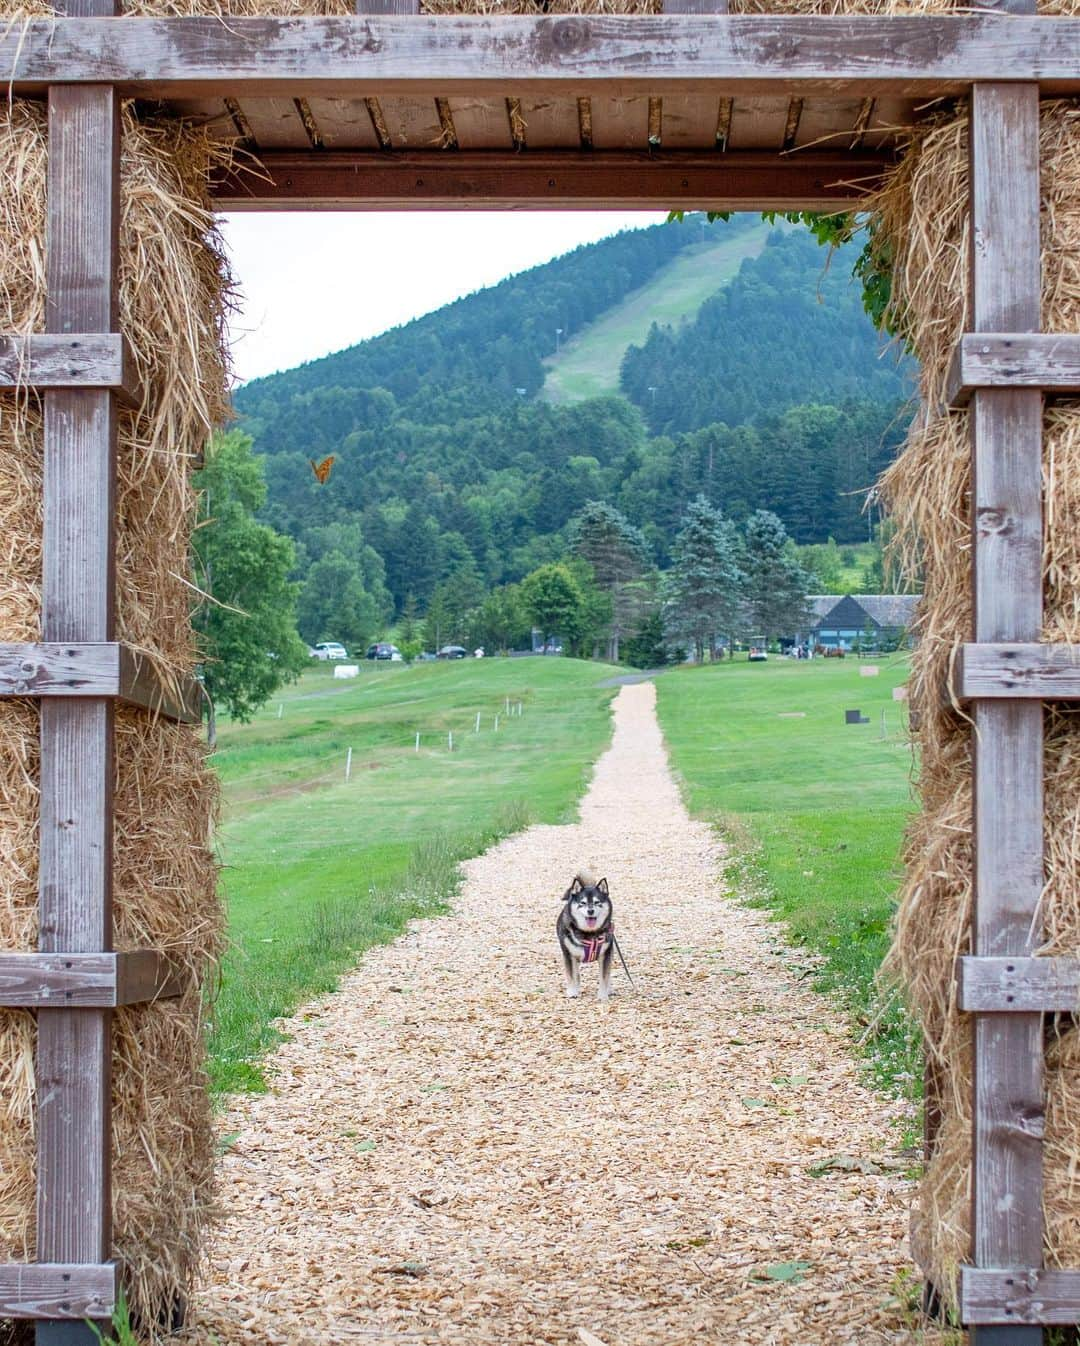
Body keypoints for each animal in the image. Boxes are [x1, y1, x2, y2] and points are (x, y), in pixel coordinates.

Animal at [554, 872, 614, 1001]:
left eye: (597, 902)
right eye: (583, 903)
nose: (590, 911)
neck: (589, 933)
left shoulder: (605, 955)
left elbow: (604, 976)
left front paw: (603, 995)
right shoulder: (569, 955)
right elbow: (572, 975)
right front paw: (572, 992)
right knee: (576, 974)